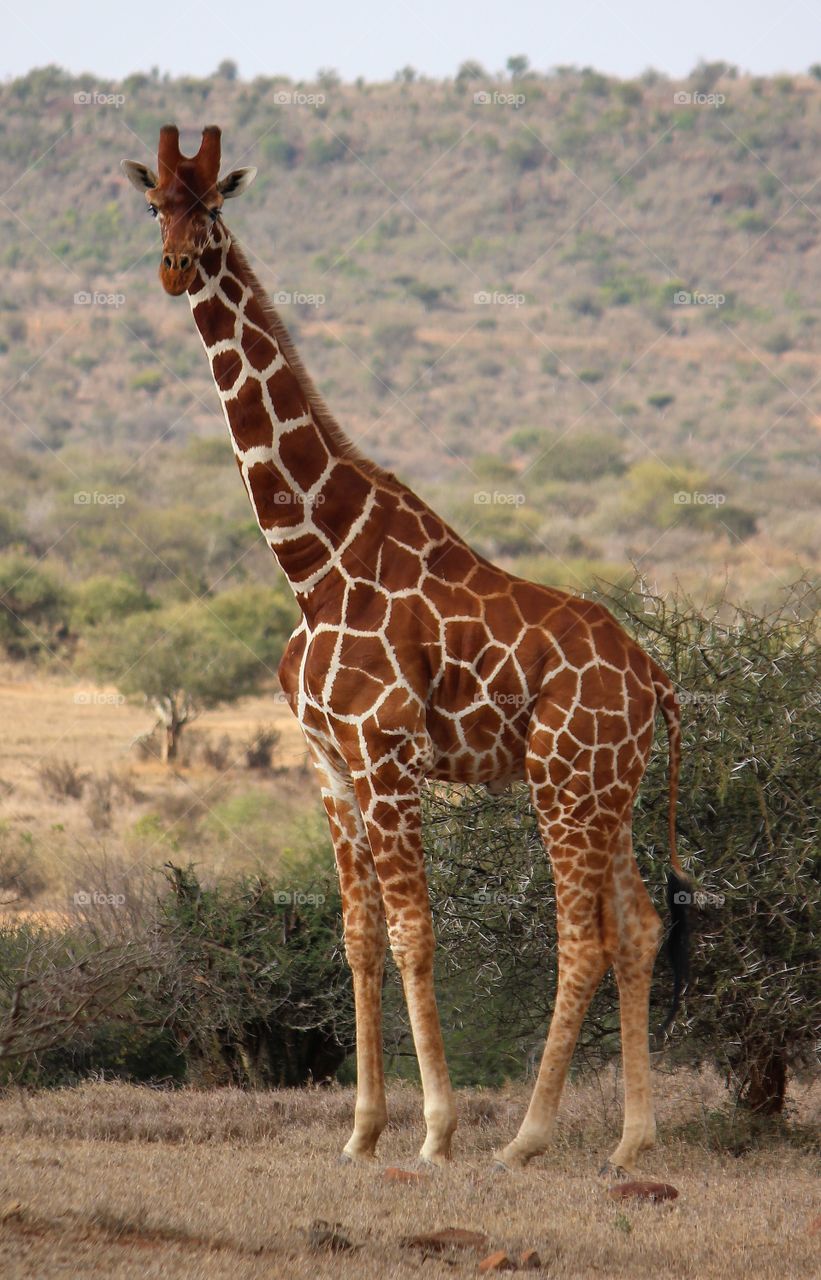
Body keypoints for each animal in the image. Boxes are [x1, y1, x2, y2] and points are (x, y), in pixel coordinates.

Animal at [120, 124, 686, 1172]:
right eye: (152, 205)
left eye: (211, 203)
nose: (175, 268)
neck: (311, 557)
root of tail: (658, 681)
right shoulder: (328, 761)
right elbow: (357, 936)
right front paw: (360, 1132)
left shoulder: (385, 752)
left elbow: (417, 932)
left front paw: (434, 1131)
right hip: (610, 787)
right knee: (636, 927)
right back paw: (630, 1144)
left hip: (561, 779)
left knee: (583, 938)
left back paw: (526, 1138)